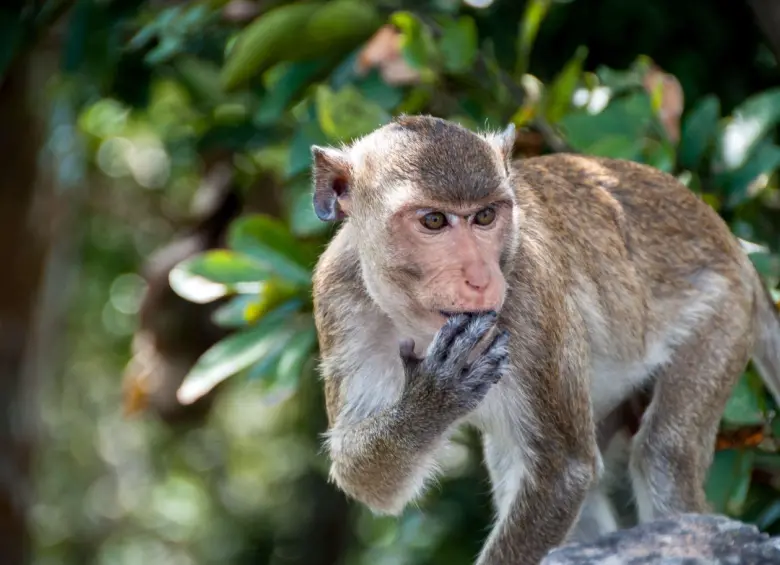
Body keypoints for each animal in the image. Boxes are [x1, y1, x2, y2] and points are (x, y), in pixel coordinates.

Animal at [307, 114, 780, 565]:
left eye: (484, 216)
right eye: (434, 220)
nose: (481, 278)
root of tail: (733, 245)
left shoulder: (530, 296)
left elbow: (565, 471)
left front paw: (435, 392)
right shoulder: (337, 295)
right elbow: (362, 478)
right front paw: (432, 401)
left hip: (722, 313)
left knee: (662, 454)